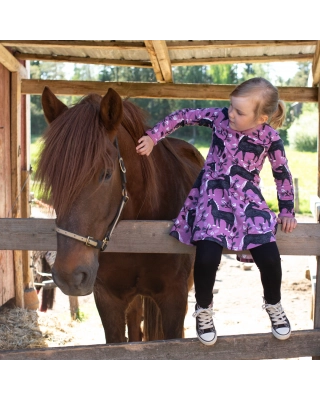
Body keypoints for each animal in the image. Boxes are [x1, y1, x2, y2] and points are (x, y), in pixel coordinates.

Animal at [36, 87, 204, 344]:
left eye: (106, 174)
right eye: (53, 177)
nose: (69, 276)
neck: (141, 231)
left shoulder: (174, 297)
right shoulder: (108, 299)